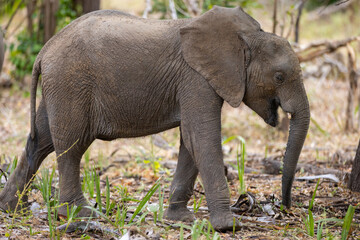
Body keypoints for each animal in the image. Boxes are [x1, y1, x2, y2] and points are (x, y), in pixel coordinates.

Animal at [0, 6, 310, 231]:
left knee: (41, 141)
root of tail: (44, 50)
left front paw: (180, 219)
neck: (246, 36)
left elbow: (190, 140)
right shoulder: (195, 78)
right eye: (279, 77)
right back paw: (80, 214)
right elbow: (202, 138)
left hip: (59, 85)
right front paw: (229, 226)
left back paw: (12, 208)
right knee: (71, 146)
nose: (284, 207)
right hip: (71, 83)